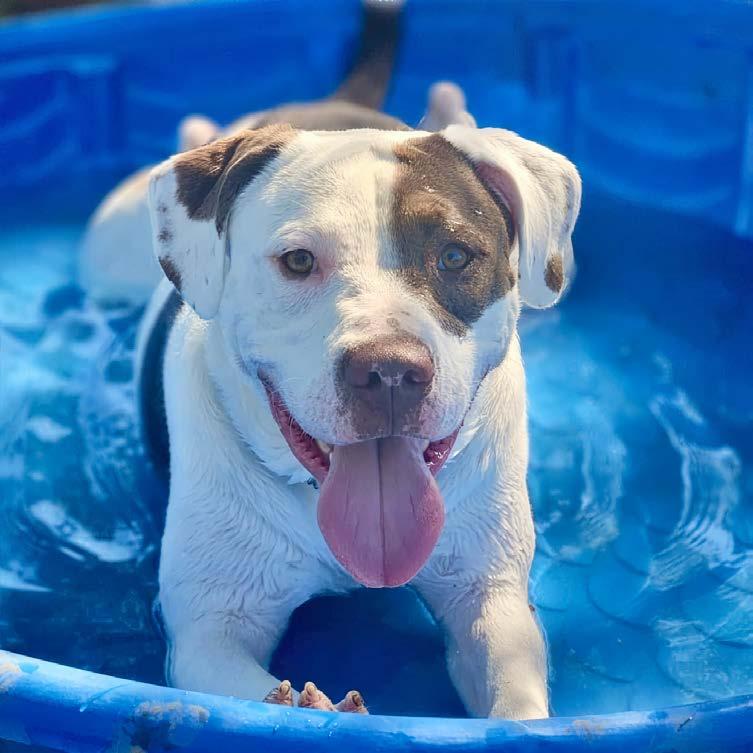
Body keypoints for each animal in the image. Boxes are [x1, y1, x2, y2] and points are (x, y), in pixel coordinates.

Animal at [83, 0, 581, 719]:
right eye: (298, 261)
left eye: (455, 255)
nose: (389, 370)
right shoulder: (210, 628)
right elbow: (255, 693)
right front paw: (312, 706)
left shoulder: (491, 593)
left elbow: (511, 687)